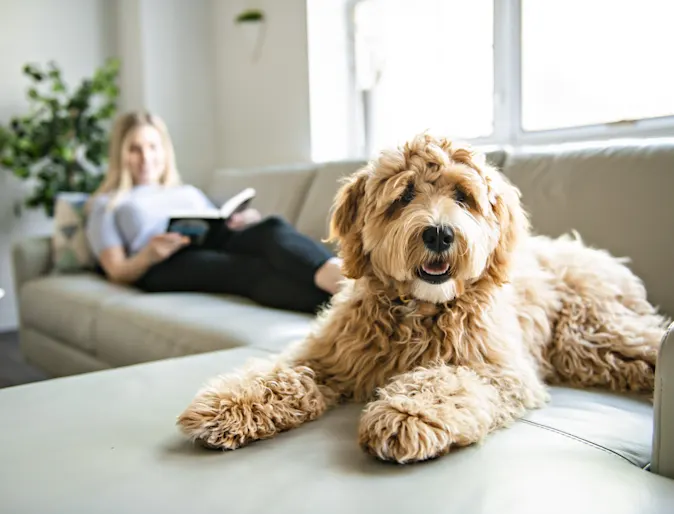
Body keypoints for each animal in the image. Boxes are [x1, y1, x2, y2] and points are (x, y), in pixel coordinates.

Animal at [175, 134, 668, 462]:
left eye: (464, 196)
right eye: (405, 194)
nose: (439, 233)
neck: (419, 309)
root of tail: (598, 255)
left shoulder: (499, 371)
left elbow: (447, 381)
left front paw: (407, 413)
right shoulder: (328, 356)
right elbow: (282, 373)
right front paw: (228, 404)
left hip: (590, 334)